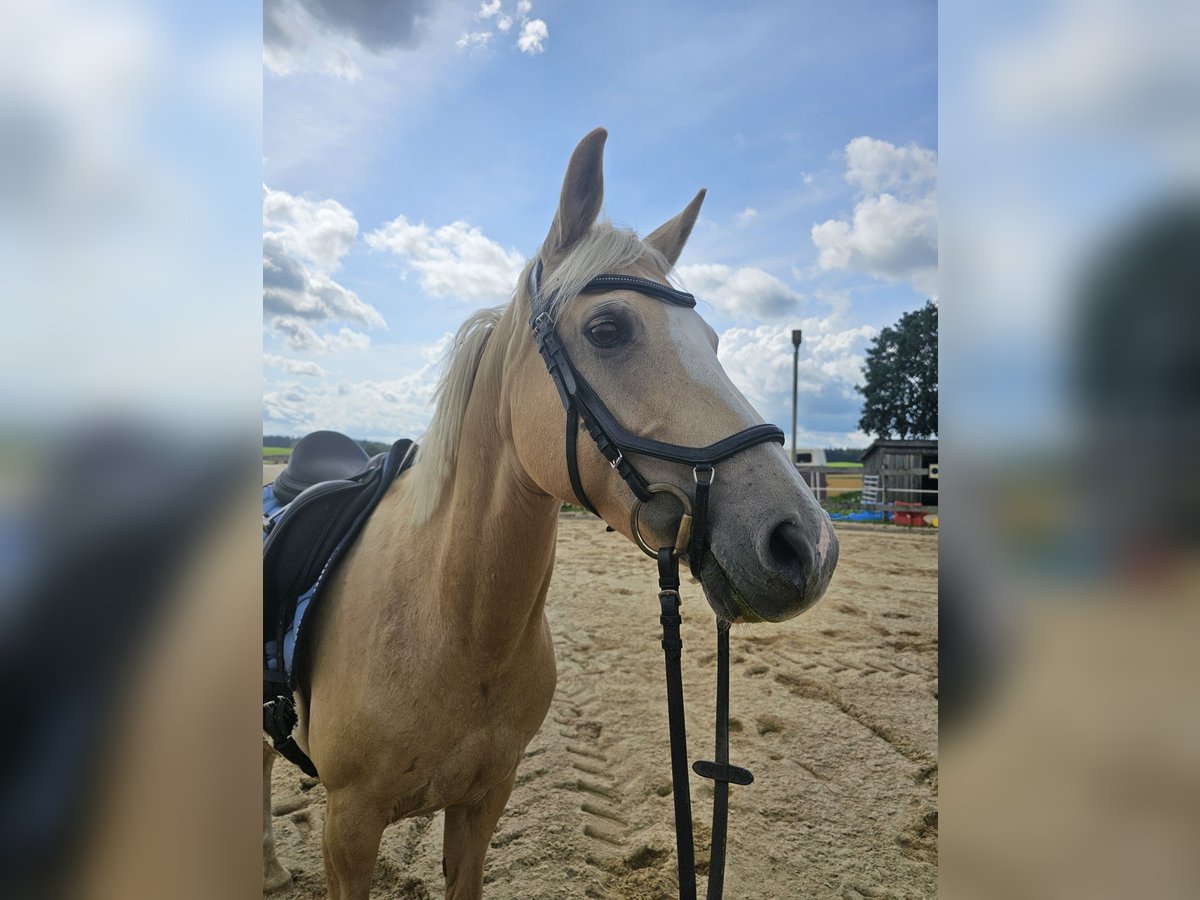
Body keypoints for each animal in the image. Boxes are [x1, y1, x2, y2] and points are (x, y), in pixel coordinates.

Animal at [264, 128, 840, 900]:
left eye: (715, 342)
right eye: (606, 328)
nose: (806, 545)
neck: (452, 625)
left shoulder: (484, 803)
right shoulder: (348, 828)